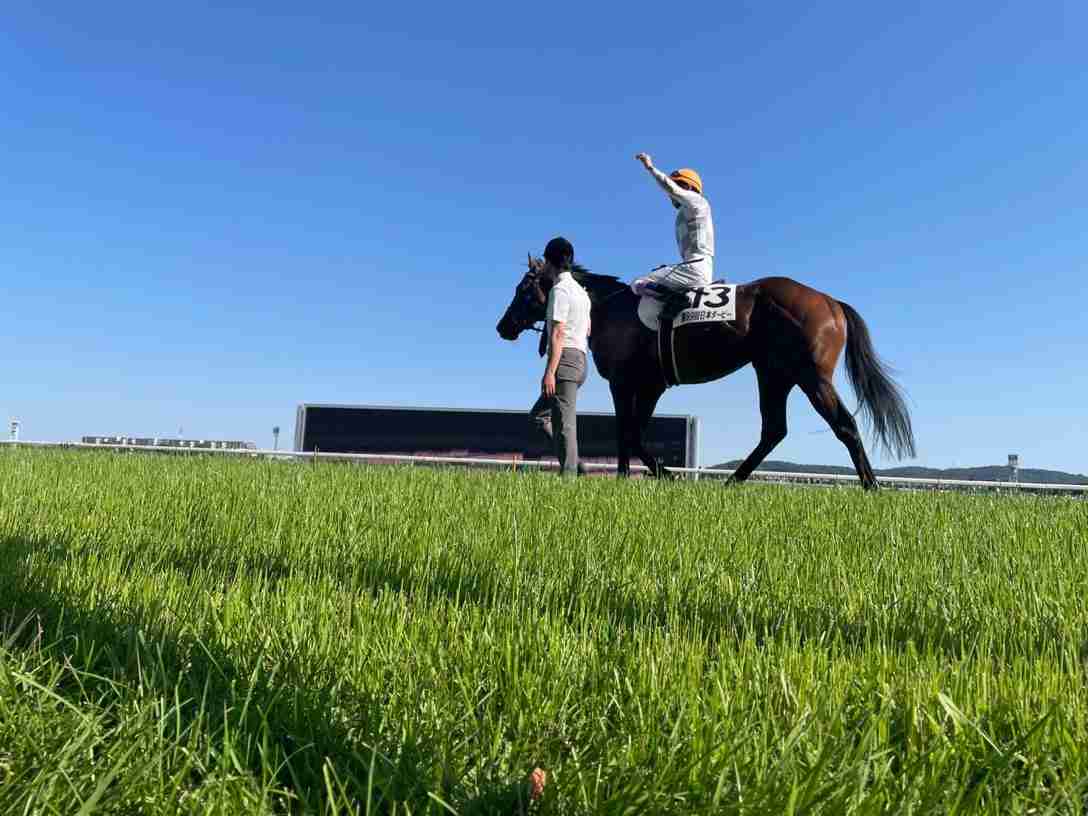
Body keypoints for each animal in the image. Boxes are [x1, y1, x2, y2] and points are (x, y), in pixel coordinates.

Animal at [496, 257, 915, 489]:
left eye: (522, 288)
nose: (503, 327)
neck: (608, 309)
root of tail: (829, 301)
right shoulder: (650, 385)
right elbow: (635, 434)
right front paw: (656, 474)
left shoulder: (628, 382)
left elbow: (628, 434)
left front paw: (649, 475)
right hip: (774, 373)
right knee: (774, 430)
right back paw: (732, 481)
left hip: (810, 376)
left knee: (843, 424)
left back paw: (872, 486)